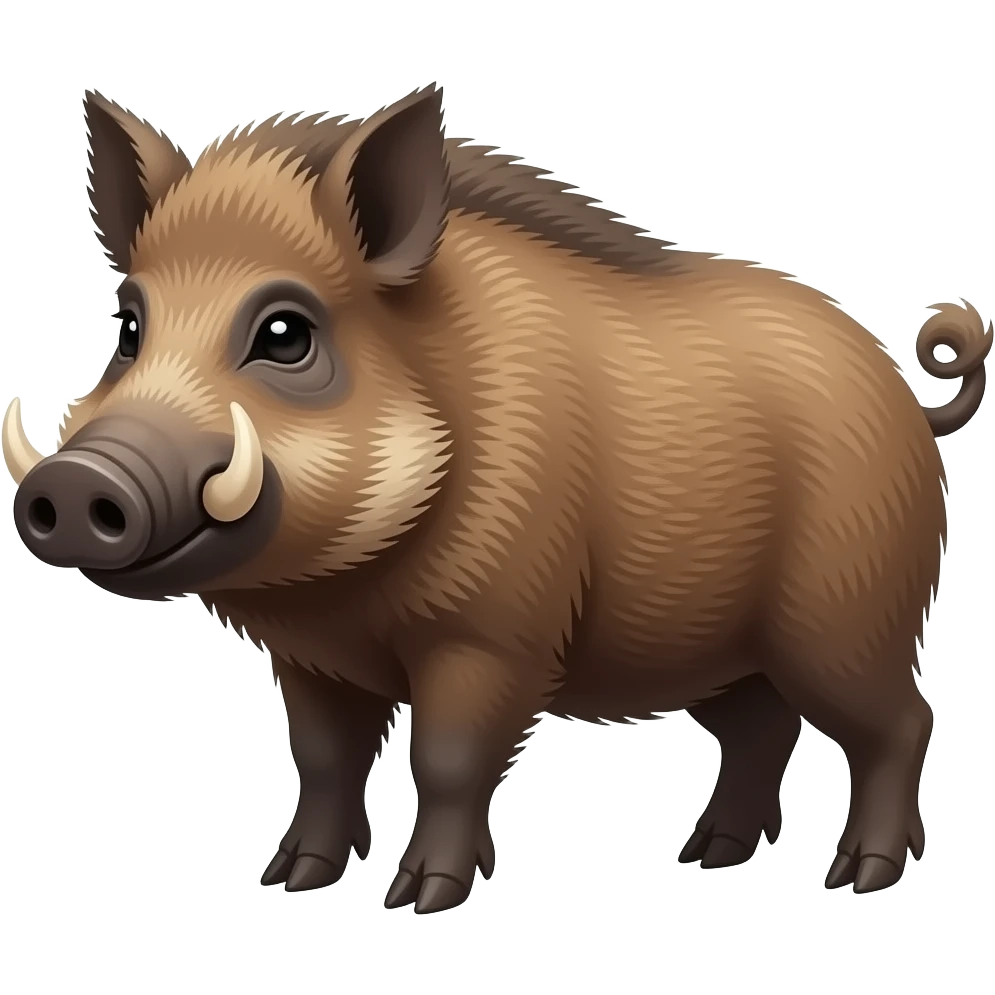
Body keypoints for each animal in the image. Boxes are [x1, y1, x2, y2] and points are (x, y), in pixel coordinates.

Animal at [3, 85, 990, 913]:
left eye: (285, 333)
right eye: (129, 327)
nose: (75, 482)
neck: (343, 592)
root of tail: (911, 399)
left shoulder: (493, 636)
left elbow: (447, 760)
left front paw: (420, 900)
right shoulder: (311, 661)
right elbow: (322, 760)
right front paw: (290, 880)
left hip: (847, 618)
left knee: (900, 721)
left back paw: (858, 877)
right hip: (720, 650)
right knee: (761, 727)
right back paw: (705, 857)